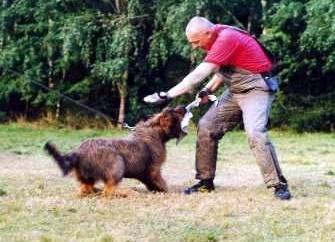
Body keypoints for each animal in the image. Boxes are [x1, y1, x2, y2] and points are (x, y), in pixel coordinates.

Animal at [43, 105, 188, 197]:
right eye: (174, 111)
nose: (184, 107)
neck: (154, 130)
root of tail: (78, 152)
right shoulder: (154, 170)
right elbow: (162, 183)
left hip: (87, 177)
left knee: (85, 189)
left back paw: (97, 190)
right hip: (117, 164)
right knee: (108, 191)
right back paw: (128, 193)